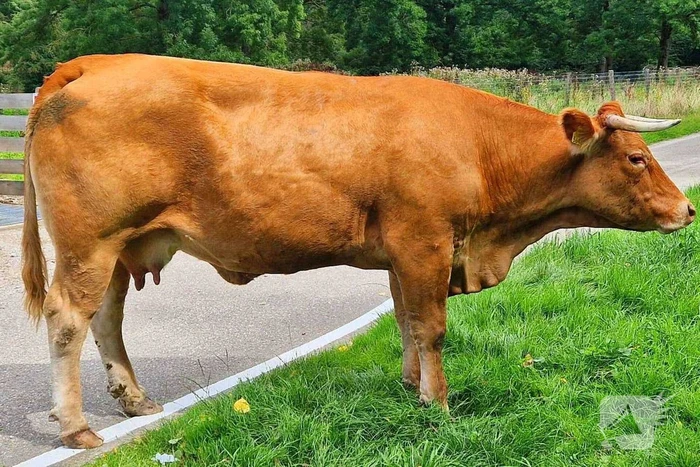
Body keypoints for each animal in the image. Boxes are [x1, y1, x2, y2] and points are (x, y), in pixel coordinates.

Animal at [21, 54, 693, 448]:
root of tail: (94, 63)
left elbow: (406, 321)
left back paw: (134, 400)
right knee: (67, 320)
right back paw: (77, 428)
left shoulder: (403, 254)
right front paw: (438, 404)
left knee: (106, 318)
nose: (687, 210)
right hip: (89, 242)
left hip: (119, 247)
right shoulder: (425, 242)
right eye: (637, 158)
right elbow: (432, 326)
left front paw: (409, 386)